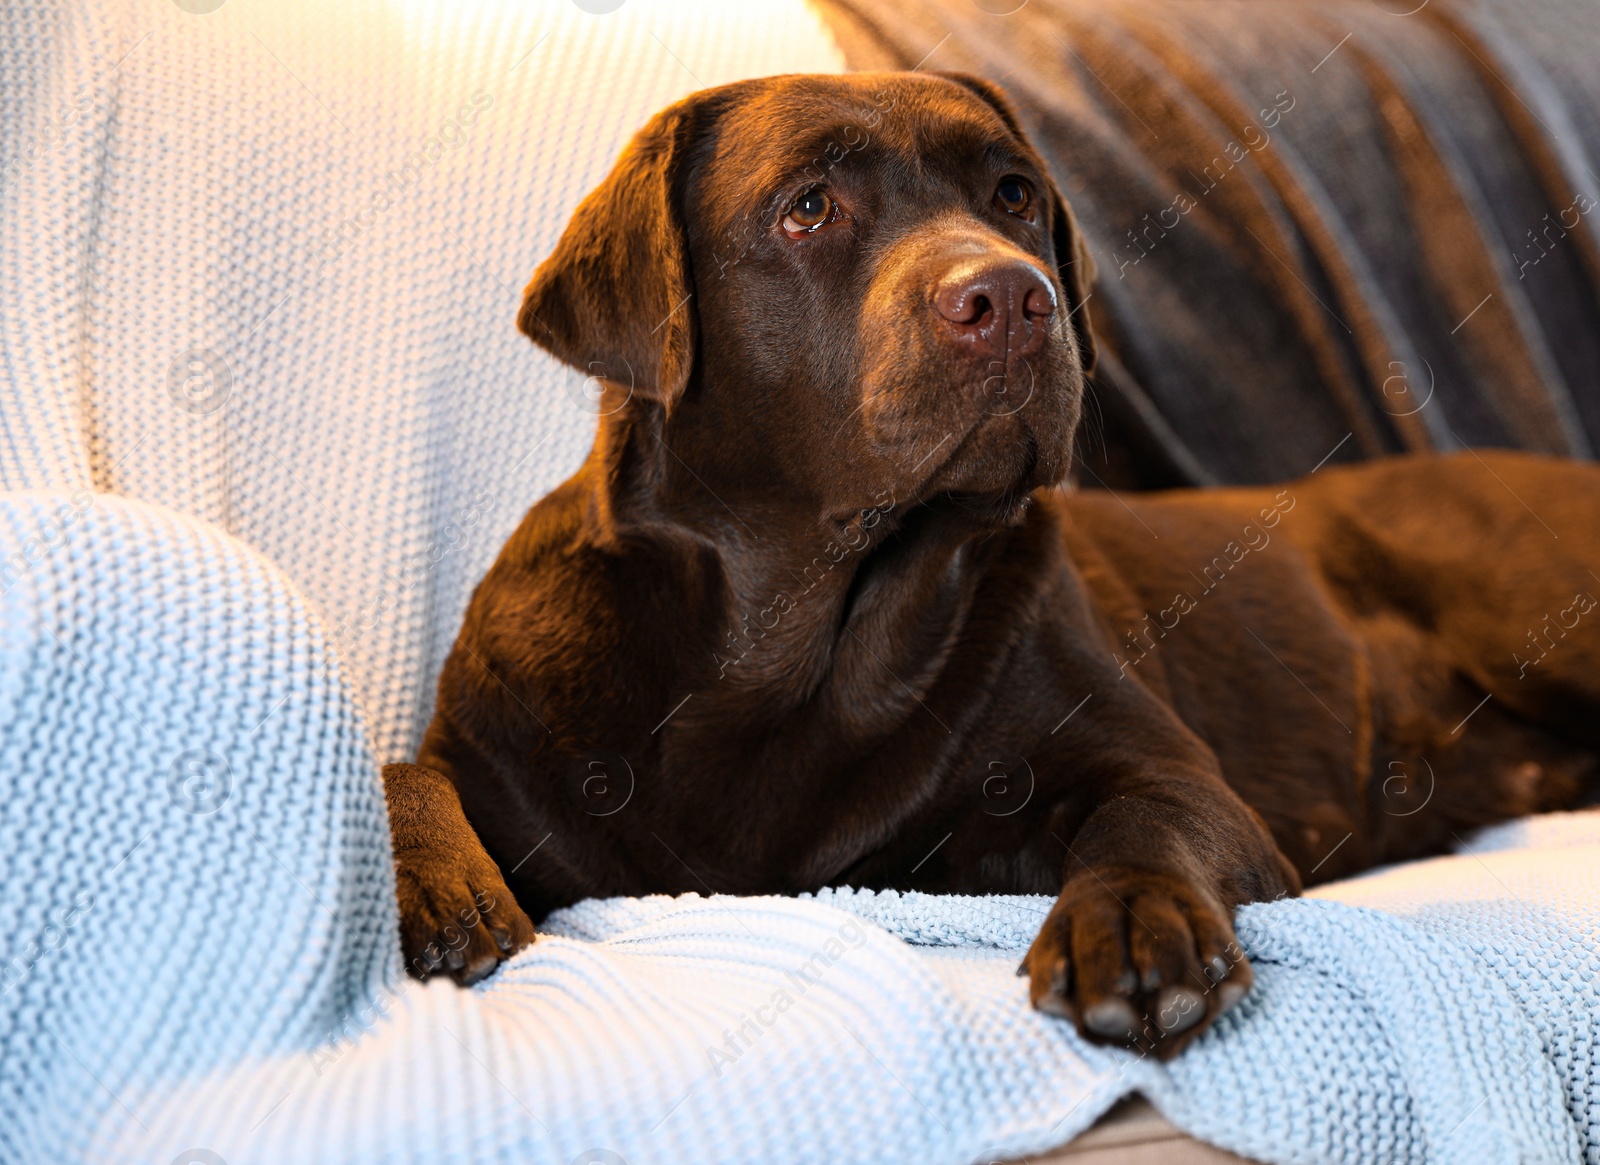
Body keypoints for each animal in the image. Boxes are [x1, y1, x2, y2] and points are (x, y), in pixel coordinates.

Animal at [387, 70, 1600, 1056]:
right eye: (807, 207)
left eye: (1013, 193)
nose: (1016, 296)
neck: (784, 645)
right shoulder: (508, 752)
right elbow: (405, 771)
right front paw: (430, 890)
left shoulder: (1168, 772)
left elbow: (1141, 817)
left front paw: (1131, 926)